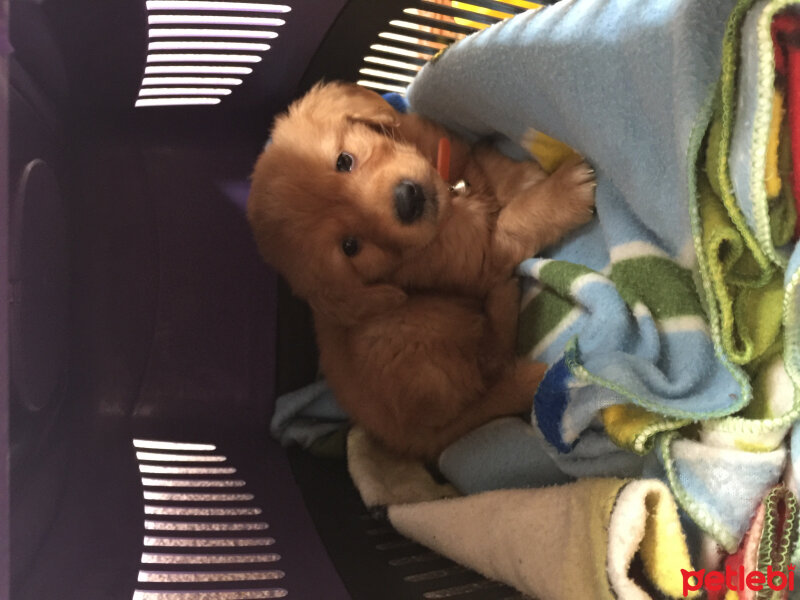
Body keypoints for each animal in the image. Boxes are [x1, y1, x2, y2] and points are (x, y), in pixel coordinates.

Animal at [250, 81, 592, 460]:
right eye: (350, 246)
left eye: (344, 162)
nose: (407, 200)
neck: (453, 204)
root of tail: (411, 440)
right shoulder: (481, 258)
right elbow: (512, 222)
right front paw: (564, 191)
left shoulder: (454, 151)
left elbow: (487, 166)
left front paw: (525, 175)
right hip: (423, 332)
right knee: (491, 364)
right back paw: (506, 308)